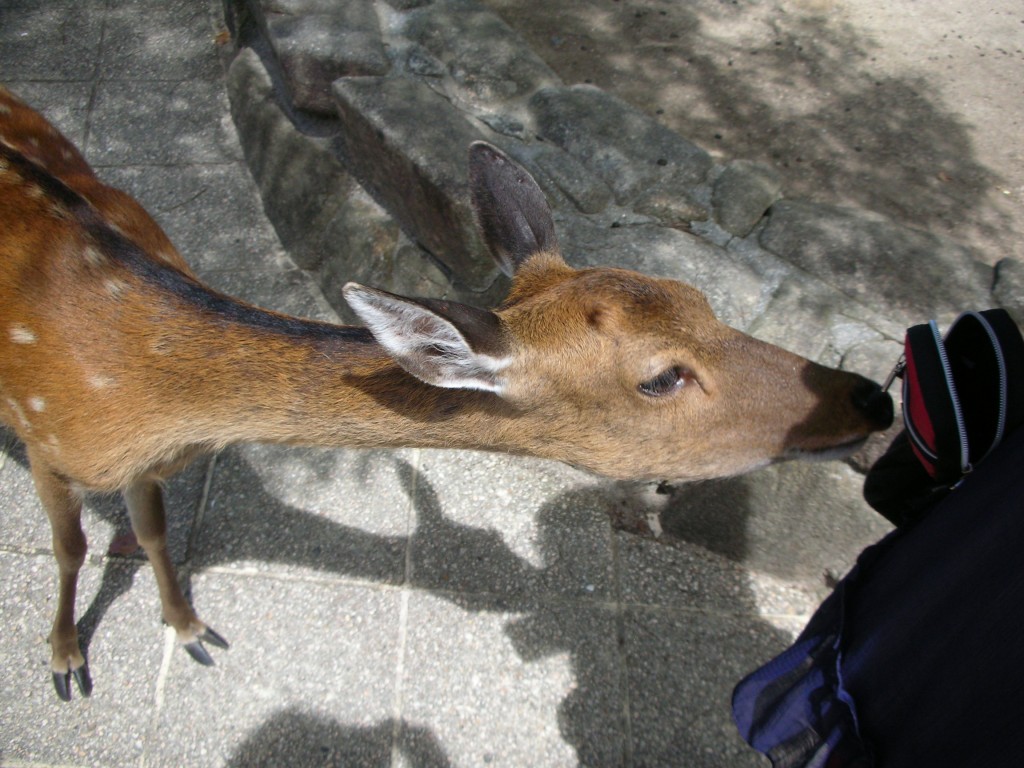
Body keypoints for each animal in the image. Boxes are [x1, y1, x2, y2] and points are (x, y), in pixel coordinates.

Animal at [0, 87, 897, 700]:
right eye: (661, 375)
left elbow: (152, 532)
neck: (148, 401)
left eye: (699, 298)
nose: (874, 401)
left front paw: (191, 630)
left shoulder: (144, 463)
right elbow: (72, 545)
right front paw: (65, 660)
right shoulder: (45, 439)